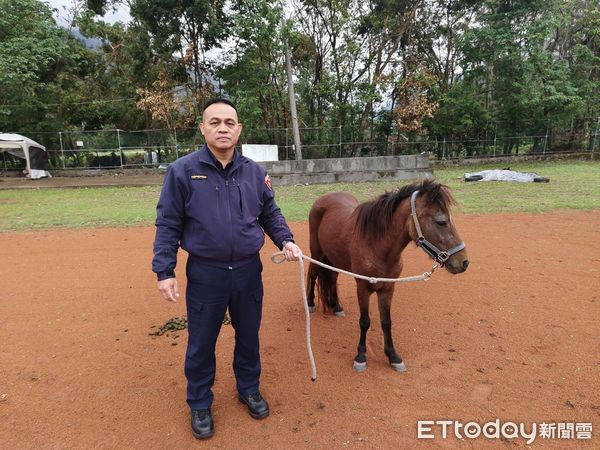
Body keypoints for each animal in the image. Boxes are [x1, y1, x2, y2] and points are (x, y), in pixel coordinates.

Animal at [310, 179, 468, 372]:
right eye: (441, 222)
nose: (464, 262)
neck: (375, 243)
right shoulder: (362, 287)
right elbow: (365, 321)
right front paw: (361, 356)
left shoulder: (388, 288)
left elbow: (386, 322)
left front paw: (393, 356)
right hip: (317, 253)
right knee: (312, 274)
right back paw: (310, 304)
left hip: (333, 257)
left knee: (332, 278)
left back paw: (336, 307)